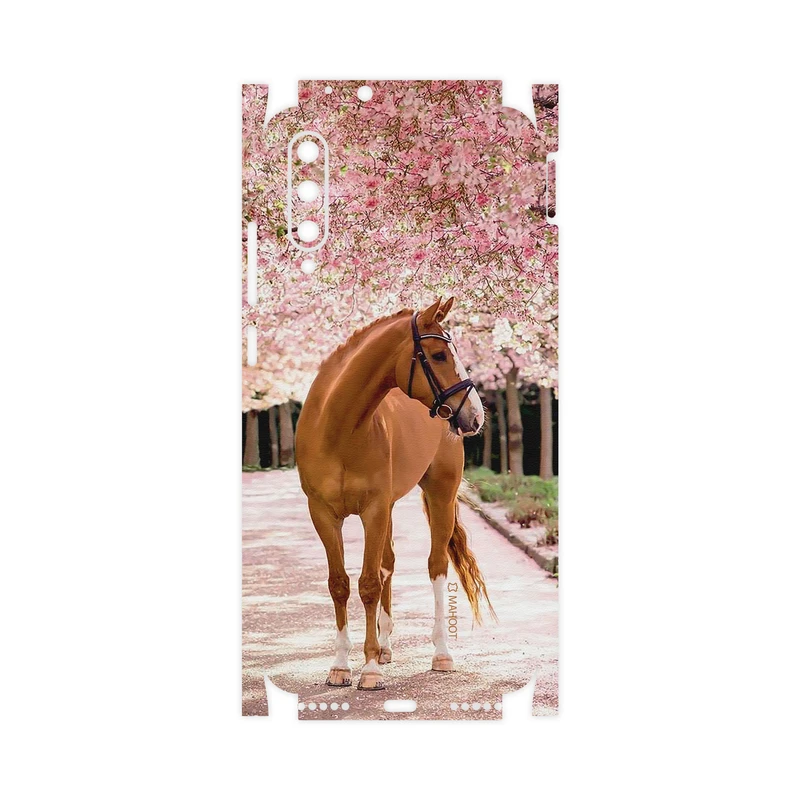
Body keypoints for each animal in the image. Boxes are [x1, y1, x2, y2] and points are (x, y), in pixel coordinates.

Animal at [295, 297, 494, 690]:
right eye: (438, 355)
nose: (476, 416)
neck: (338, 428)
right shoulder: (324, 514)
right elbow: (340, 584)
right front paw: (341, 666)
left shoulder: (373, 510)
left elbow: (369, 583)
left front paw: (369, 669)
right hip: (388, 508)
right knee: (388, 563)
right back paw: (385, 646)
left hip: (439, 494)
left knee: (435, 566)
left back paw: (441, 653)